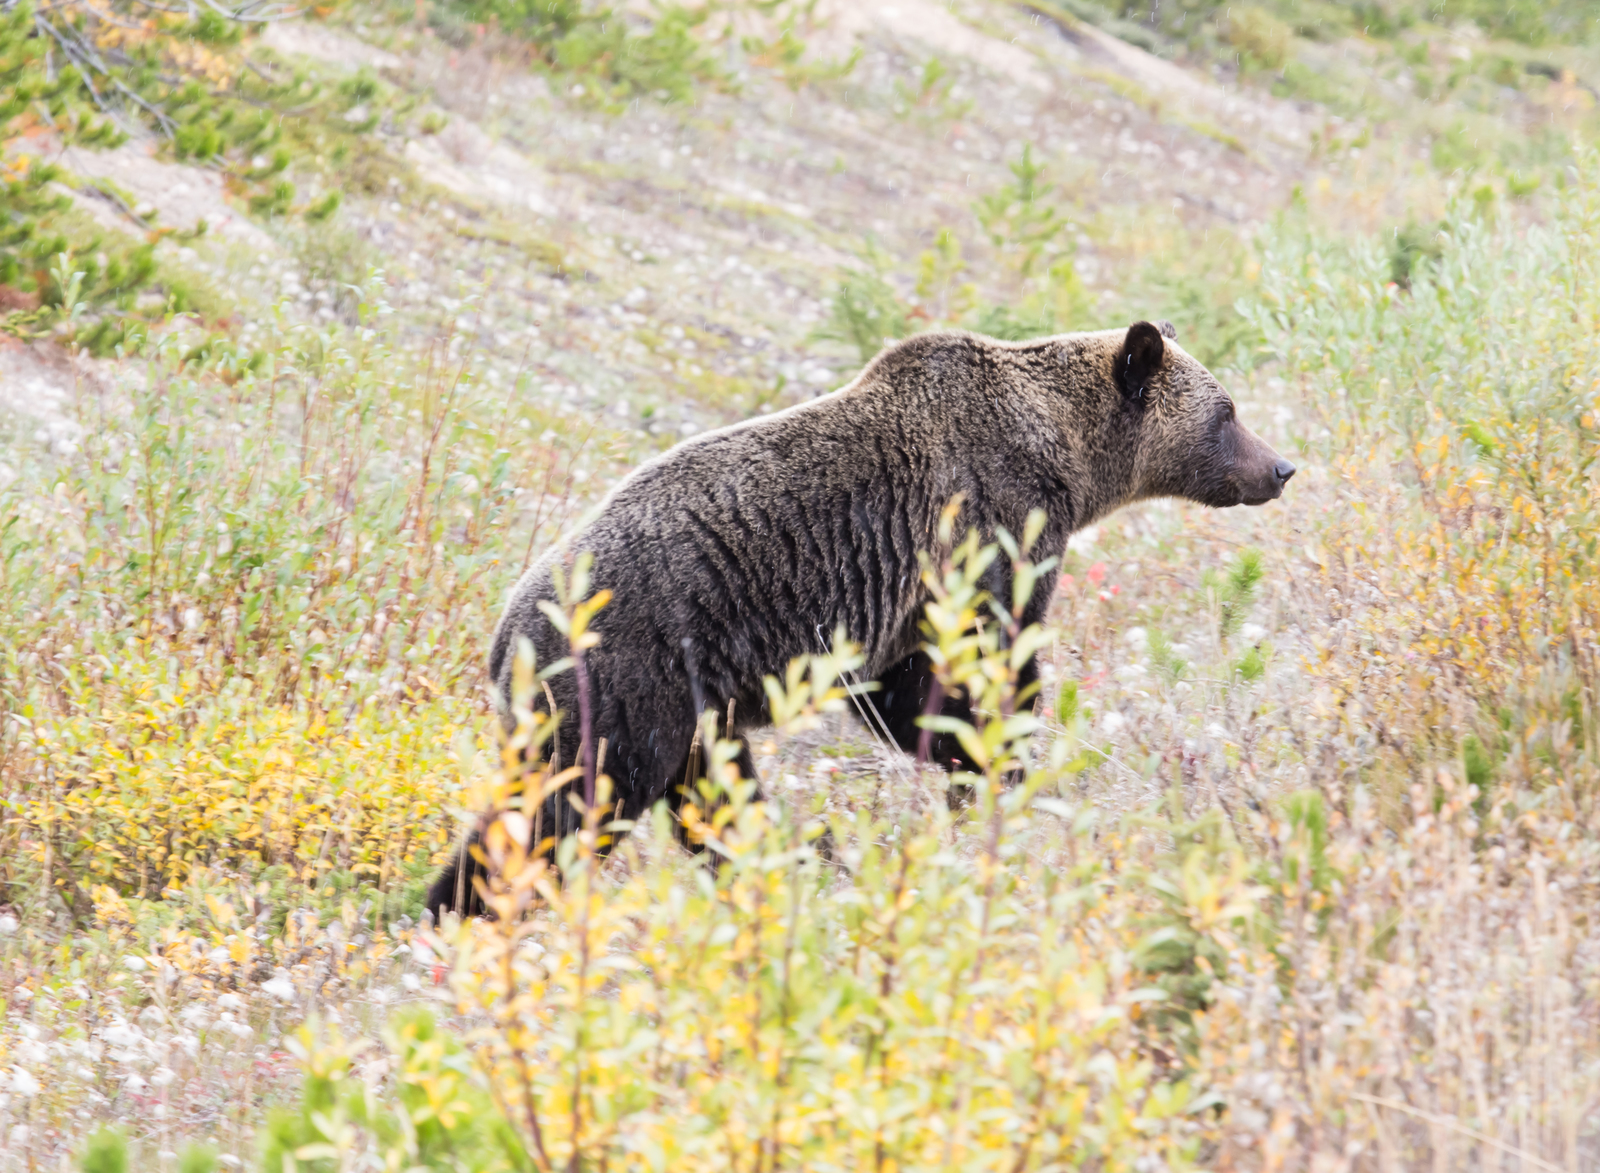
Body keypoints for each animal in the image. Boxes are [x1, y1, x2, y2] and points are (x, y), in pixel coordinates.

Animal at [432, 320, 1292, 915]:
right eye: (1228, 412)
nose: (1282, 466)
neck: (1071, 460)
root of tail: (504, 636)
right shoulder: (991, 523)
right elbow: (987, 662)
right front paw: (1008, 757)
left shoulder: (903, 607)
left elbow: (910, 691)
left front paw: (972, 766)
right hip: (630, 675)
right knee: (576, 796)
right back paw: (464, 904)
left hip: (691, 709)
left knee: (714, 799)